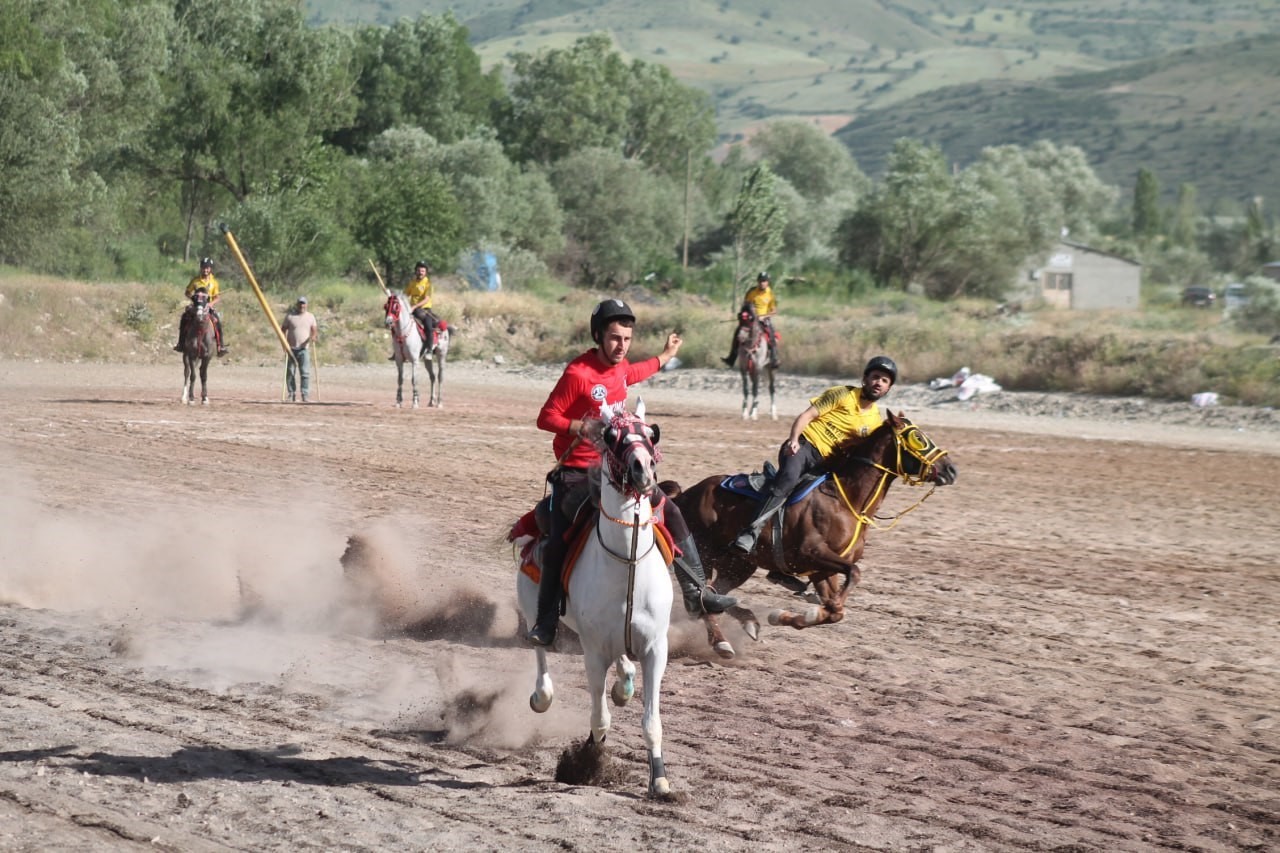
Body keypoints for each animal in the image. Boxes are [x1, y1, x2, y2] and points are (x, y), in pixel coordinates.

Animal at [512, 399, 675, 799]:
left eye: (651, 434)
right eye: (612, 436)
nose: (642, 468)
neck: (627, 564)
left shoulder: (656, 649)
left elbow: (652, 722)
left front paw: (660, 781)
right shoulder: (593, 650)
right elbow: (600, 719)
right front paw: (586, 763)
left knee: (624, 663)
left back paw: (624, 683)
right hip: (530, 606)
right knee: (539, 648)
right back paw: (542, 695)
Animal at [665, 412, 957, 655]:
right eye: (918, 437)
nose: (951, 469)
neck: (845, 500)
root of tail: (685, 496)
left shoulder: (822, 570)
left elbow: (835, 611)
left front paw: (786, 616)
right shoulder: (812, 553)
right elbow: (852, 577)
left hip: (739, 564)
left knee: (715, 593)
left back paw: (748, 622)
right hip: (701, 556)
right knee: (701, 598)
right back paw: (721, 643)